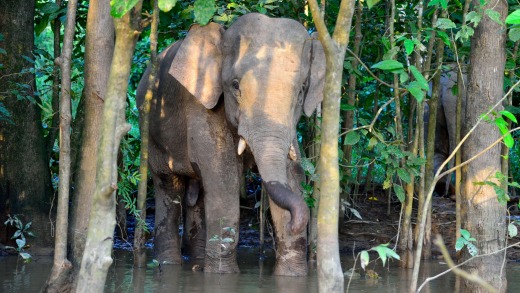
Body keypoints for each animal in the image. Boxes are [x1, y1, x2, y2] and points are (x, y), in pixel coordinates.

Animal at [138, 12, 324, 274]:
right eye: (235, 86)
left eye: (301, 92)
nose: (295, 224)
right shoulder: (202, 108)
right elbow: (223, 184)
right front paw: (221, 275)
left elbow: (293, 177)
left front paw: (293, 275)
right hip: (152, 134)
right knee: (169, 188)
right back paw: (169, 265)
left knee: (199, 194)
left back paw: (196, 261)